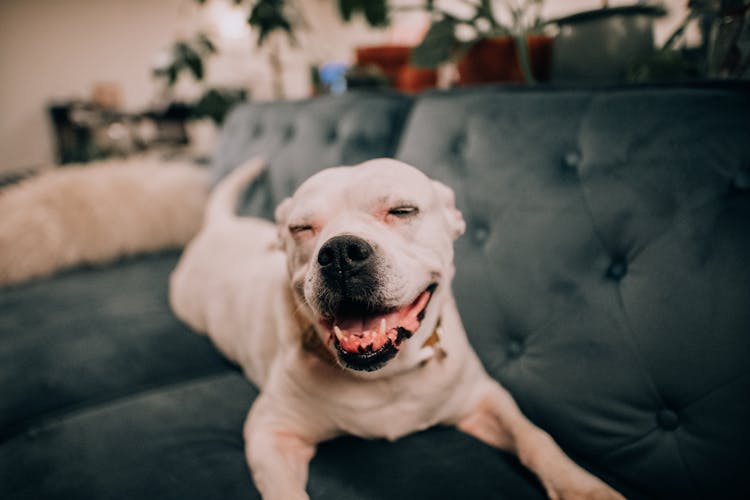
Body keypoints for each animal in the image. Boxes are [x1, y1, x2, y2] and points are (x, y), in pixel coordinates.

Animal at [169, 157, 624, 500]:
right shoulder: (271, 433)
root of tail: (218, 226)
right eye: (301, 228)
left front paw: (584, 489)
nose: (340, 253)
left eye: (403, 211)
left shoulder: (484, 400)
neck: (387, 377)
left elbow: (536, 437)